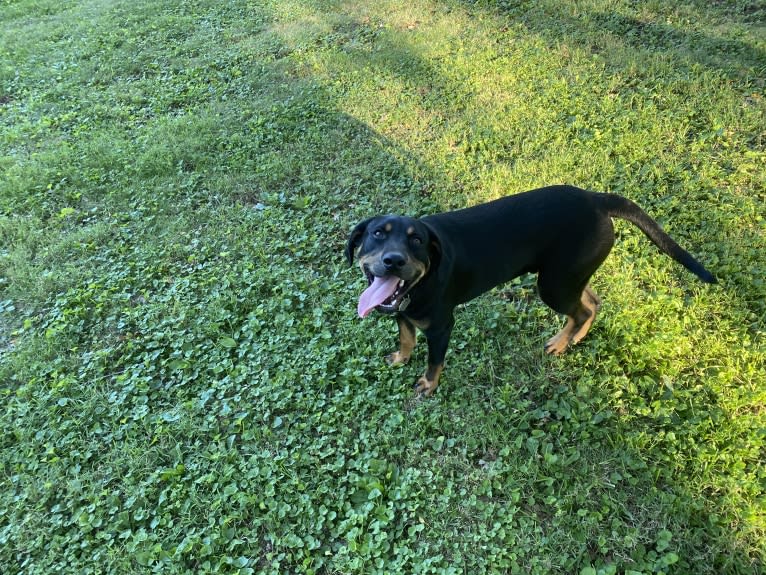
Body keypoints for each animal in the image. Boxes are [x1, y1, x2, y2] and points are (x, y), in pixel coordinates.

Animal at [348, 184, 720, 396]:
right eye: (378, 234)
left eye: (416, 241)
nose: (393, 261)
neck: (420, 284)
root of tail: (596, 200)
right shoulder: (402, 312)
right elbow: (406, 337)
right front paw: (400, 358)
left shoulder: (442, 326)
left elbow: (434, 361)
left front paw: (428, 384)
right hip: (565, 276)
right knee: (592, 301)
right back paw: (575, 337)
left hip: (553, 285)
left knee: (582, 308)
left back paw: (561, 343)